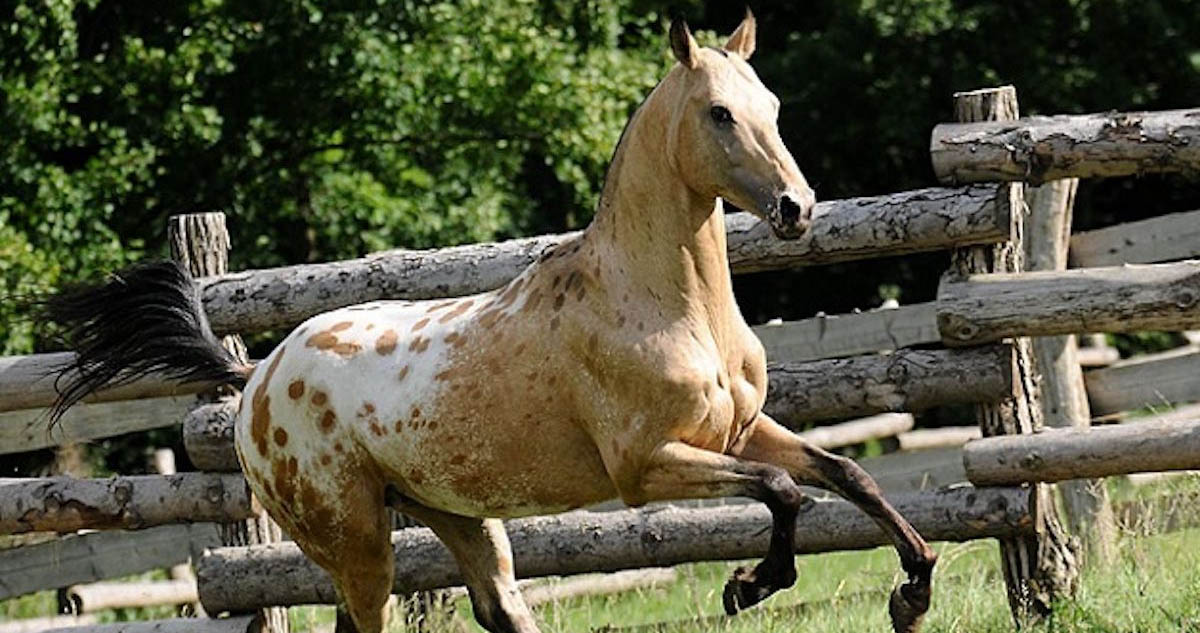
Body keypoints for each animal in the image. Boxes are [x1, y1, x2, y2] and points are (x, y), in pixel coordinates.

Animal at [44, 13, 936, 633]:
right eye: (719, 113)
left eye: (772, 105)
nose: (797, 208)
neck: (665, 303)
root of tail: (255, 376)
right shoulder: (646, 467)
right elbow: (783, 491)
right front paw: (747, 584)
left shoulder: (740, 431)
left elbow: (843, 473)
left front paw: (912, 589)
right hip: (357, 542)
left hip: (461, 522)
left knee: (497, 608)